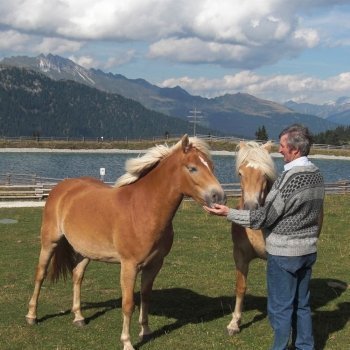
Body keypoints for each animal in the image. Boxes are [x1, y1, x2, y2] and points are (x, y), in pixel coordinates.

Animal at [26, 135, 226, 350]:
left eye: (212, 166)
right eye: (192, 168)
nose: (219, 196)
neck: (142, 208)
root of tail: (62, 187)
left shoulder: (154, 264)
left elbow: (145, 296)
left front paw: (145, 330)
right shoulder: (129, 266)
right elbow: (128, 304)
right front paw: (127, 341)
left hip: (85, 251)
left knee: (77, 276)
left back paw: (79, 317)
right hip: (49, 242)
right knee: (40, 275)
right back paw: (32, 316)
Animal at [226, 141, 278, 334]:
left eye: (264, 173)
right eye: (241, 173)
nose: (250, 206)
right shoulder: (239, 255)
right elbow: (240, 286)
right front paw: (234, 323)